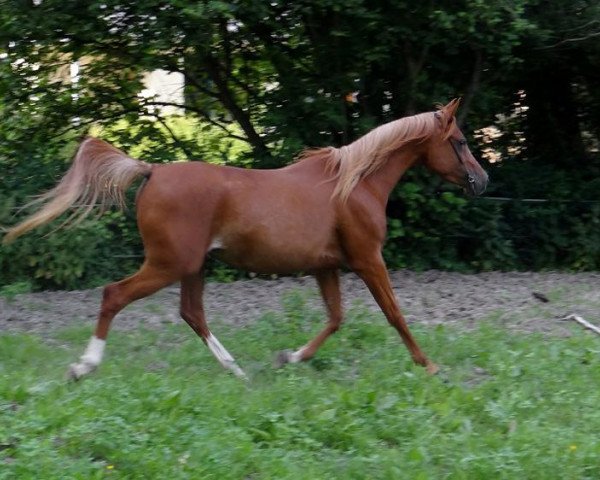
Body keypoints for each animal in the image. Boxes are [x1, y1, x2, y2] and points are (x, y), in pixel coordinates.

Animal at [3, 99, 488, 380]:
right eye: (461, 141)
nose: (483, 181)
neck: (354, 184)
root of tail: (151, 170)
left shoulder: (326, 266)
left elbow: (335, 319)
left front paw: (289, 358)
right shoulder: (368, 259)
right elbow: (394, 314)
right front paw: (429, 365)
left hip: (192, 266)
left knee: (192, 313)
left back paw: (236, 370)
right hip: (169, 264)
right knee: (114, 295)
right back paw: (83, 367)